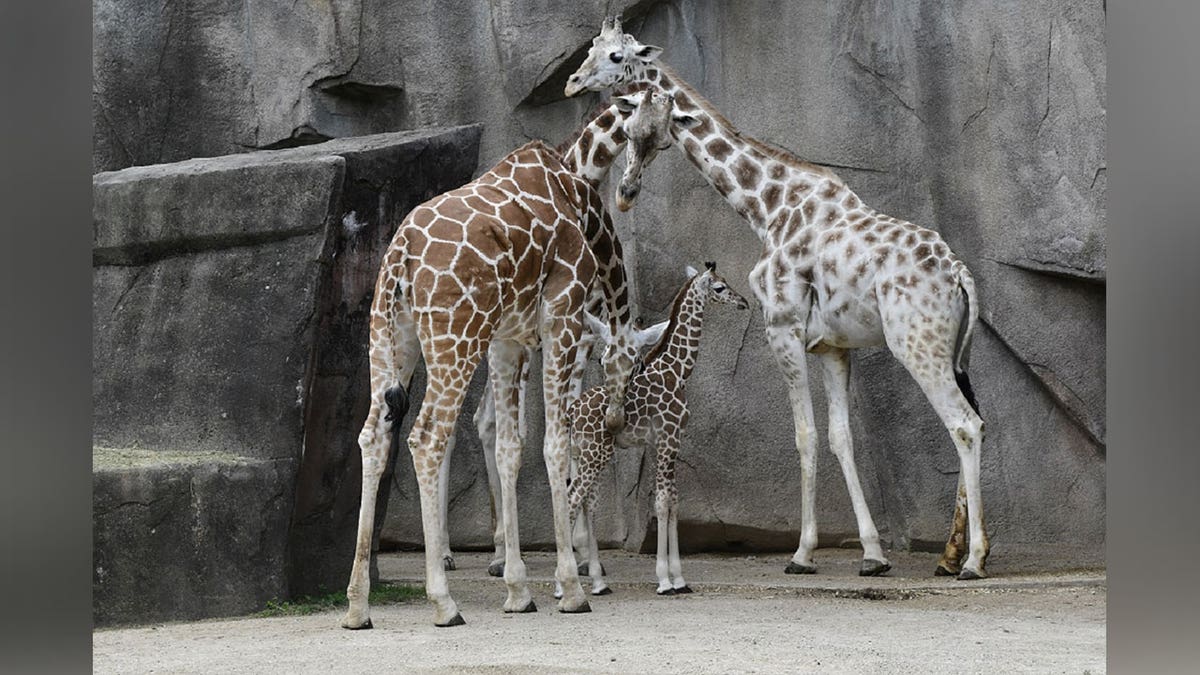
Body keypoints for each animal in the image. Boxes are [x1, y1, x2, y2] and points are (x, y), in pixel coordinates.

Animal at [343, 133, 648, 629]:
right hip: (457, 336)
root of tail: (401, 252)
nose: (619, 422)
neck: (587, 212)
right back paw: (444, 602)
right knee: (427, 438)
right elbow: (554, 444)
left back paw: (357, 605)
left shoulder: (507, 340)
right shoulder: (562, 316)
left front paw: (519, 590)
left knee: (374, 435)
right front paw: (572, 587)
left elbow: (509, 446)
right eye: (634, 363)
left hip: (389, 335)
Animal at [564, 263, 748, 593]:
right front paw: (664, 580)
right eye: (719, 287)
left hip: (587, 453)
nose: (744, 302)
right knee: (573, 500)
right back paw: (566, 585)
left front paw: (680, 579)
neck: (678, 371)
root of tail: (572, 411)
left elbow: (673, 501)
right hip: (595, 454)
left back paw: (596, 581)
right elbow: (662, 503)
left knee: (584, 501)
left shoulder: (665, 442)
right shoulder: (668, 438)